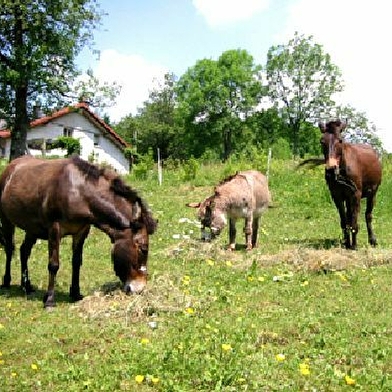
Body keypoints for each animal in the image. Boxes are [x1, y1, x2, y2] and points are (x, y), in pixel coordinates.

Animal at [0, 155, 156, 308]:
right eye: (143, 249)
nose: (140, 288)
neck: (79, 193)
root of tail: (12, 165)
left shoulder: (81, 231)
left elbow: (76, 262)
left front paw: (75, 294)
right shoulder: (54, 230)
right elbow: (53, 265)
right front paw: (50, 300)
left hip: (32, 229)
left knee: (24, 251)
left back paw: (26, 285)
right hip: (7, 221)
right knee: (9, 249)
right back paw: (6, 281)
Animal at [312, 119, 380, 250]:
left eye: (340, 140)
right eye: (322, 141)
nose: (331, 170)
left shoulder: (356, 195)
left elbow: (354, 221)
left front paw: (354, 245)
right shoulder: (337, 196)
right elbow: (344, 220)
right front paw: (347, 243)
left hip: (372, 193)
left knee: (368, 215)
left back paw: (372, 240)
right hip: (348, 198)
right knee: (350, 216)